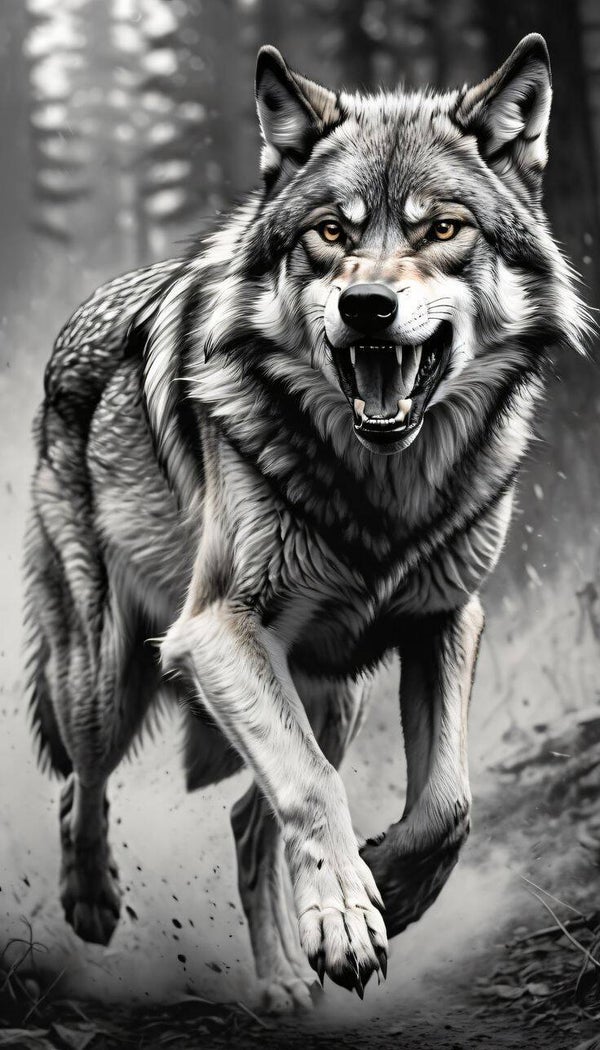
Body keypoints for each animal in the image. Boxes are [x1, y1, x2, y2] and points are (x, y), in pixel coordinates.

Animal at [25, 34, 589, 1009]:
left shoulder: (449, 618)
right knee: (82, 783)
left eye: (443, 230)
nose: (367, 307)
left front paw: (388, 889)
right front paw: (354, 917)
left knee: (248, 821)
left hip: (334, 690)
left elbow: (449, 803)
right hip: (105, 680)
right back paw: (93, 902)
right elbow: (315, 793)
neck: (382, 489)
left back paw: (286, 977)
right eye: (332, 233)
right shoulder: (216, 632)